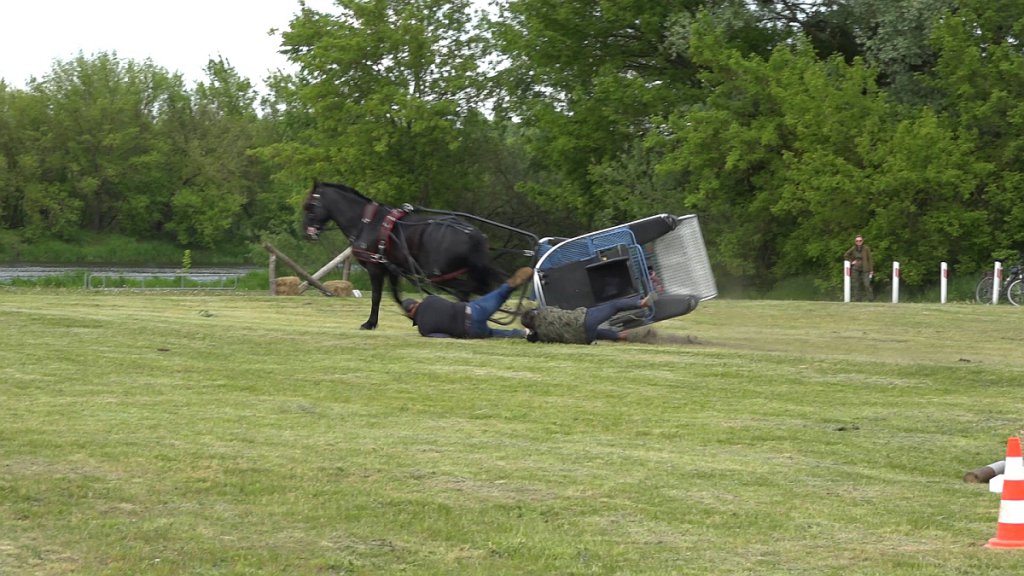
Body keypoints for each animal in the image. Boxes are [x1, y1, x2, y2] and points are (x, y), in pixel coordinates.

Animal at [301, 181, 505, 330]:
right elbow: (396, 295)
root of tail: (474, 233)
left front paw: (370, 323)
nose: (307, 233)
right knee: (474, 289)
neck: (368, 223)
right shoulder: (392, 269)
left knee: (470, 289)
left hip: (439, 274)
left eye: (310, 205)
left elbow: (377, 296)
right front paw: (410, 313)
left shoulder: (375, 268)